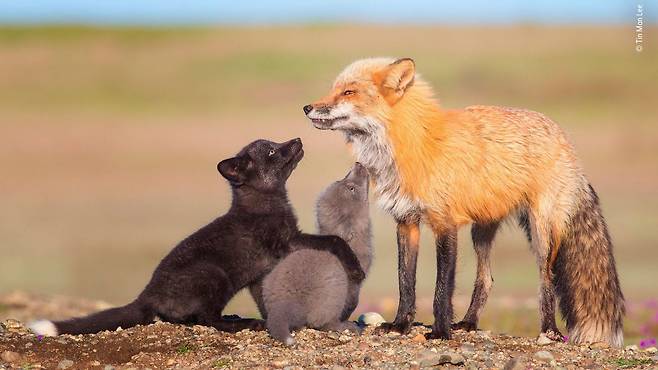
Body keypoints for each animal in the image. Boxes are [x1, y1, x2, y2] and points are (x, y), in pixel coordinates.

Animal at [302, 56, 620, 346]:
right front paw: (400, 325)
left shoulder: (445, 223)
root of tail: (564, 137)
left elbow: (443, 286)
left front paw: (441, 331)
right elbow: (405, 281)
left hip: (541, 232)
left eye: (349, 92)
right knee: (486, 279)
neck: (414, 144)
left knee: (547, 279)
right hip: (482, 231)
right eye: (334, 89)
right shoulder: (406, 220)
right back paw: (468, 322)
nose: (307, 108)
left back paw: (549, 331)